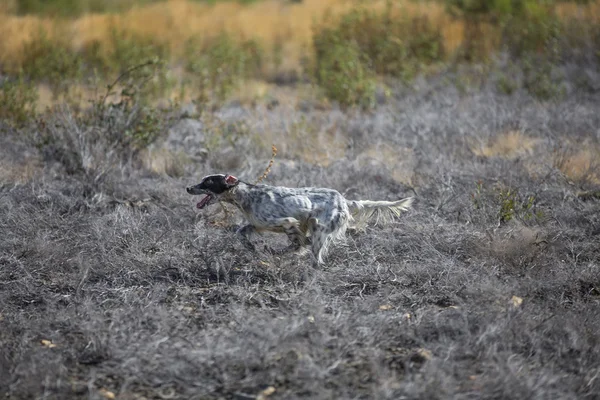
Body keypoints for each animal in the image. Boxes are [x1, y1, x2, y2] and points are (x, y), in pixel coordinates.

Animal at [188, 173, 412, 264]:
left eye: (208, 182)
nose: (188, 188)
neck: (247, 195)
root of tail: (344, 200)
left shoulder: (287, 222)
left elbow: (297, 243)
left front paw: (275, 251)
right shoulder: (256, 224)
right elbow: (240, 232)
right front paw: (251, 247)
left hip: (319, 228)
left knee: (316, 256)